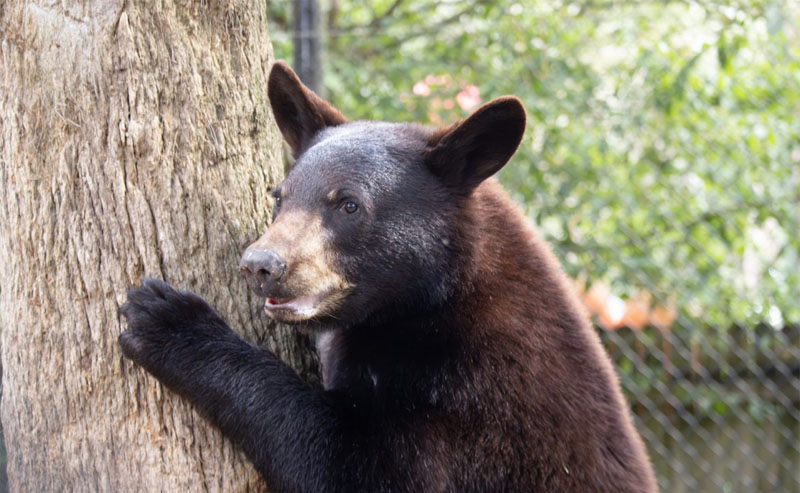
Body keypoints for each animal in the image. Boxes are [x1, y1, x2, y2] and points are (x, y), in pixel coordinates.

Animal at [119, 61, 658, 492]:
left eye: (348, 204)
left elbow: (352, 466)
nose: (260, 265)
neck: (433, 303)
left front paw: (169, 321)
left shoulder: (477, 405)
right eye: (279, 195)